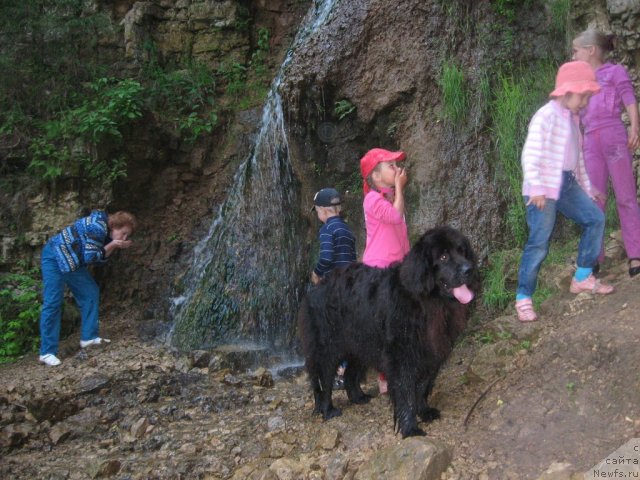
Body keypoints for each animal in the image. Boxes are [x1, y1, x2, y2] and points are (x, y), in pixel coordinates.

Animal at [298, 227, 478, 436]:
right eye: (443, 256)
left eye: (462, 251)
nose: (469, 269)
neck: (427, 301)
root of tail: (316, 288)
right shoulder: (402, 357)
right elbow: (406, 392)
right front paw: (410, 428)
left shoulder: (430, 354)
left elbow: (422, 386)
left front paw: (424, 411)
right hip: (328, 346)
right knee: (324, 379)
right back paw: (328, 410)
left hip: (361, 343)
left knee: (350, 372)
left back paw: (358, 397)